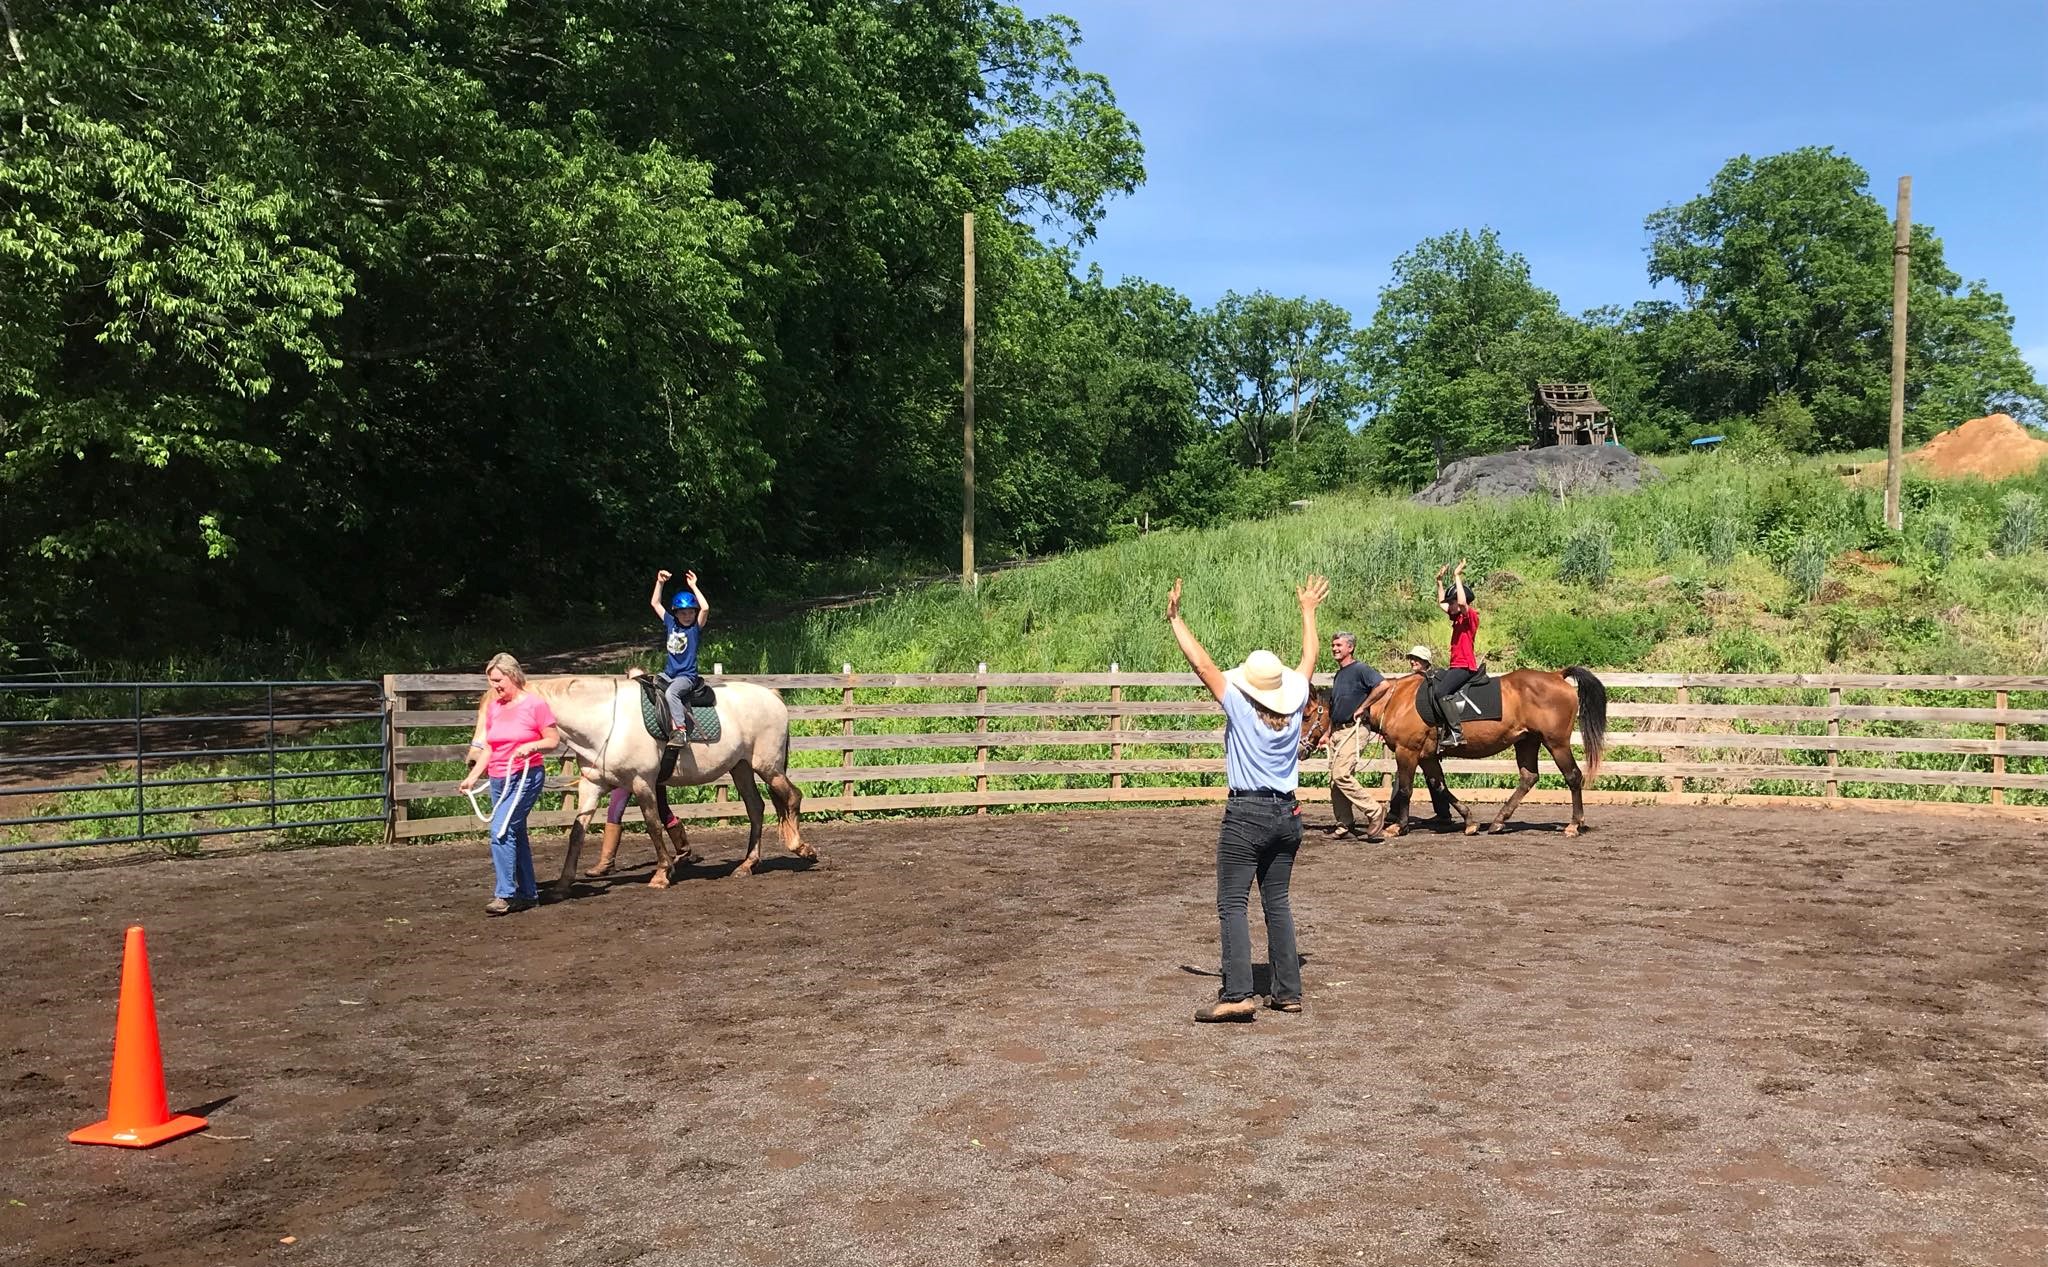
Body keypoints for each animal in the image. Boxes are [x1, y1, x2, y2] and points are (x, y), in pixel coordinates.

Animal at [524, 675, 811, 892]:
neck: (607, 721)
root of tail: (772, 695)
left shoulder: (642, 782)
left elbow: (653, 825)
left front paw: (661, 874)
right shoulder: (592, 785)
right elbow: (576, 831)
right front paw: (563, 884)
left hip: (767, 766)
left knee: (793, 796)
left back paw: (801, 848)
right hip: (740, 767)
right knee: (756, 808)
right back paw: (747, 865)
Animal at [1302, 667, 1605, 839]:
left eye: (1306, 715)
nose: (1302, 749)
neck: (1392, 700)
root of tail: (1556, 676)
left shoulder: (1407, 752)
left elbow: (1406, 790)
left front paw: (1398, 826)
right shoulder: (1427, 756)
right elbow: (1439, 785)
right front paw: (1469, 822)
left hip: (1556, 742)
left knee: (1573, 776)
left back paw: (1574, 825)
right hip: (1527, 741)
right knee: (1528, 778)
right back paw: (1498, 822)